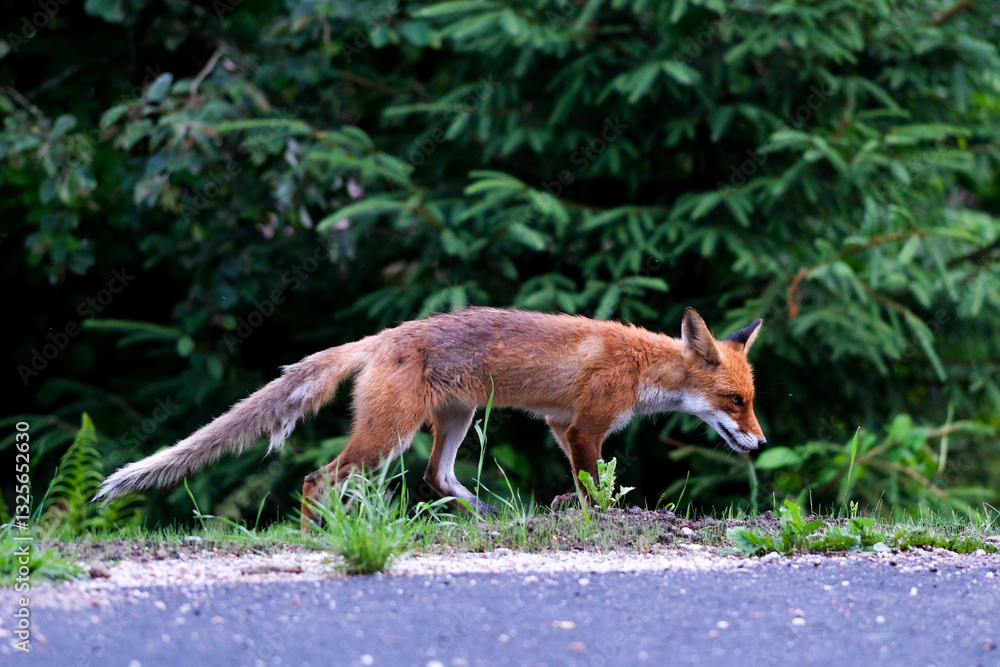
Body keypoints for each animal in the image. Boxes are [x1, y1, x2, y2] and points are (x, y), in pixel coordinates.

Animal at [94, 307, 766, 527]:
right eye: (737, 401)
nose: (760, 443)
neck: (643, 366)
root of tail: (382, 336)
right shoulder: (583, 427)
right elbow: (593, 484)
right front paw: (603, 517)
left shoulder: (559, 424)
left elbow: (582, 481)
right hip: (388, 434)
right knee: (317, 479)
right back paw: (316, 536)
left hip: (456, 420)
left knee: (435, 478)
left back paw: (490, 516)